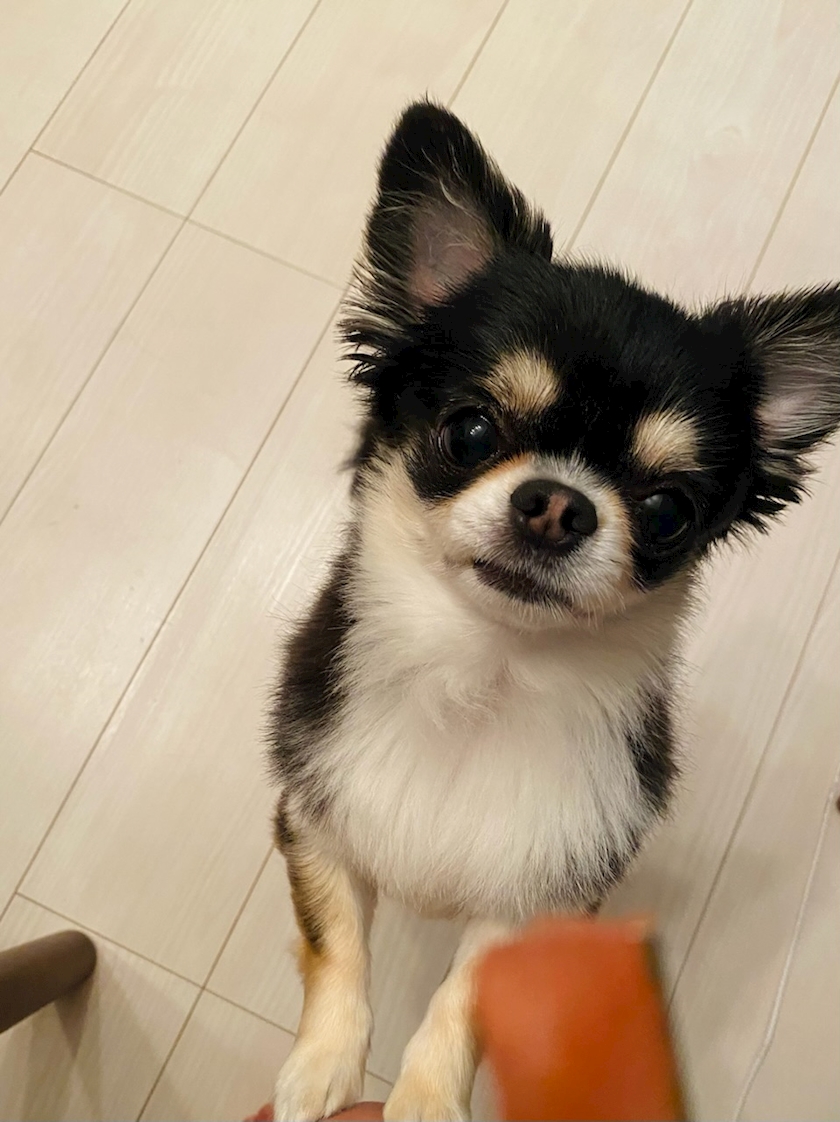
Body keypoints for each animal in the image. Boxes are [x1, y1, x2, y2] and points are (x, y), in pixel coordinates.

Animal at [267, 101, 840, 1121]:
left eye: (667, 511)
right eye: (470, 430)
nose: (557, 505)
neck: (486, 672)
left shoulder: (535, 898)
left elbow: (465, 998)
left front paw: (424, 1100)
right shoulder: (311, 817)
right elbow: (336, 948)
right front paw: (321, 1069)